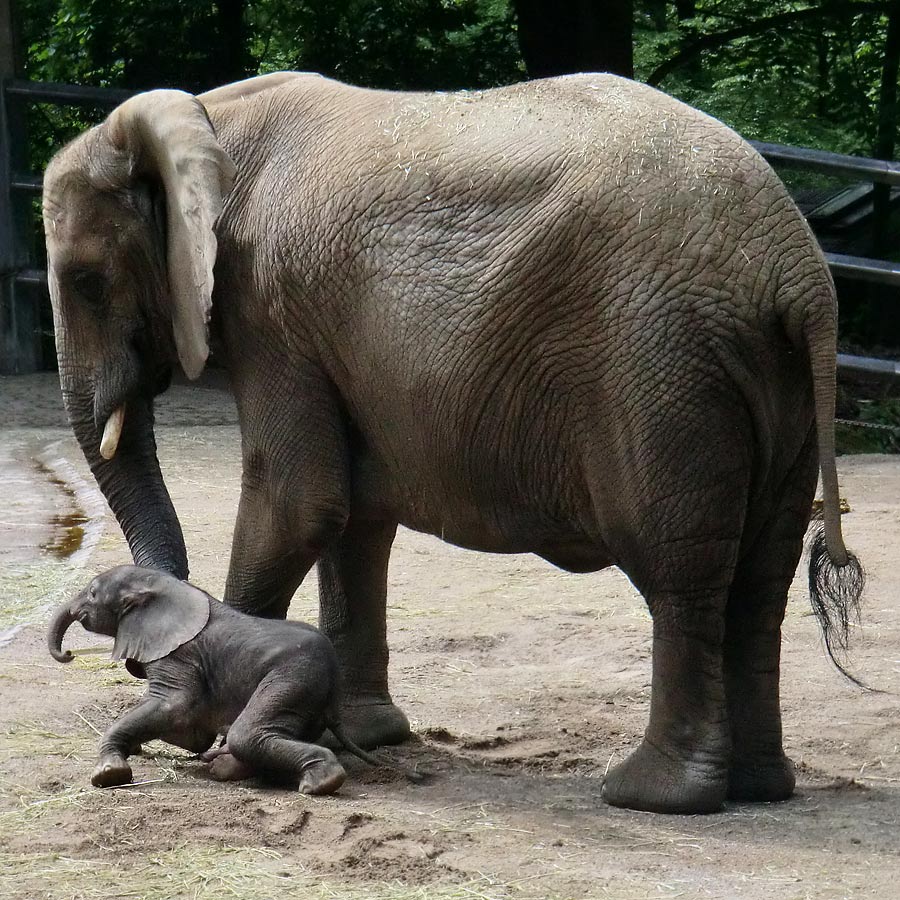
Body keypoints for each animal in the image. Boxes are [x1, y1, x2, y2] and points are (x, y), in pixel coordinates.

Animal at [51, 568, 414, 792]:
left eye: (92, 593)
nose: (67, 653)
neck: (165, 586)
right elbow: (193, 732)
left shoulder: (177, 656)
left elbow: (174, 707)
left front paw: (109, 773)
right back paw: (228, 765)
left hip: (293, 676)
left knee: (246, 734)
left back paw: (319, 783)